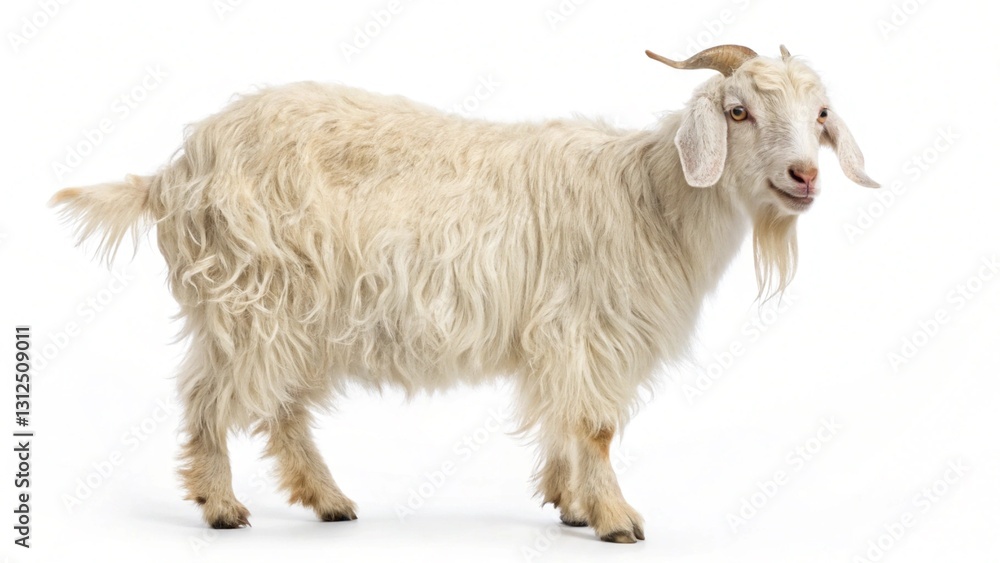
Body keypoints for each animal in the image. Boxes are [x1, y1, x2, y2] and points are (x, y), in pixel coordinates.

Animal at [51, 44, 878, 543]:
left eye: (819, 116)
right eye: (738, 111)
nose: (805, 175)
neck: (649, 195)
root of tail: (174, 172)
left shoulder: (561, 338)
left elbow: (564, 422)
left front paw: (569, 503)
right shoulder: (587, 329)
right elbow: (596, 426)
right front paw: (617, 518)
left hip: (304, 314)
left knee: (283, 409)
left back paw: (328, 499)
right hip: (250, 299)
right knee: (209, 395)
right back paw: (222, 505)